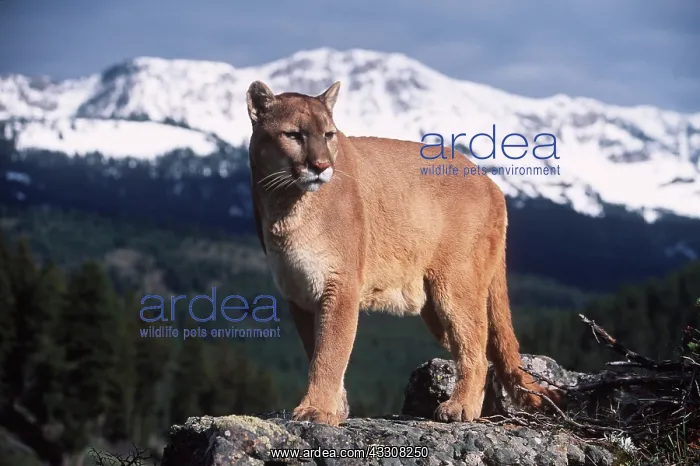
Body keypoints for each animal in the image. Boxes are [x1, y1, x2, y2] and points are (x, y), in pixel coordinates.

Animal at [245, 80, 559, 426]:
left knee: (475, 345)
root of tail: (492, 184)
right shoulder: (299, 294)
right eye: (293, 135)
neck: (286, 204)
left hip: (455, 285)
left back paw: (459, 408)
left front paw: (317, 410)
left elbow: (329, 352)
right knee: (485, 347)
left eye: (328, 134)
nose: (321, 166)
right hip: (435, 307)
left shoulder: (339, 286)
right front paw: (336, 408)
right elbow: (316, 348)